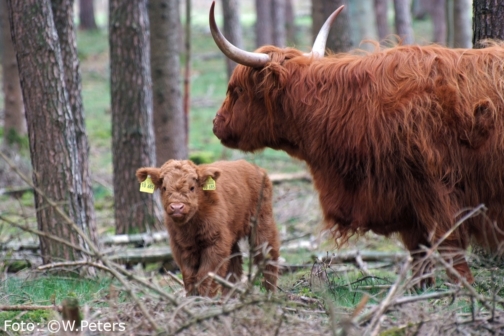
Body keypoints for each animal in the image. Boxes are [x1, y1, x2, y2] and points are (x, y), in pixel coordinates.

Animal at [136, 159, 282, 296]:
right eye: (164, 188)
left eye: (192, 187)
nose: (177, 207)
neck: (190, 227)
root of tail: (253, 166)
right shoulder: (181, 247)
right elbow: (190, 277)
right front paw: (193, 299)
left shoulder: (215, 243)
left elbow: (206, 277)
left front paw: (204, 299)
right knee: (234, 265)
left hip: (262, 222)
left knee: (268, 255)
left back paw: (270, 293)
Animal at [208, 2, 504, 286]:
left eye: (237, 90)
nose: (216, 123)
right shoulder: (407, 203)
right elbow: (420, 259)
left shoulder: (436, 189)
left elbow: (450, 250)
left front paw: (465, 294)